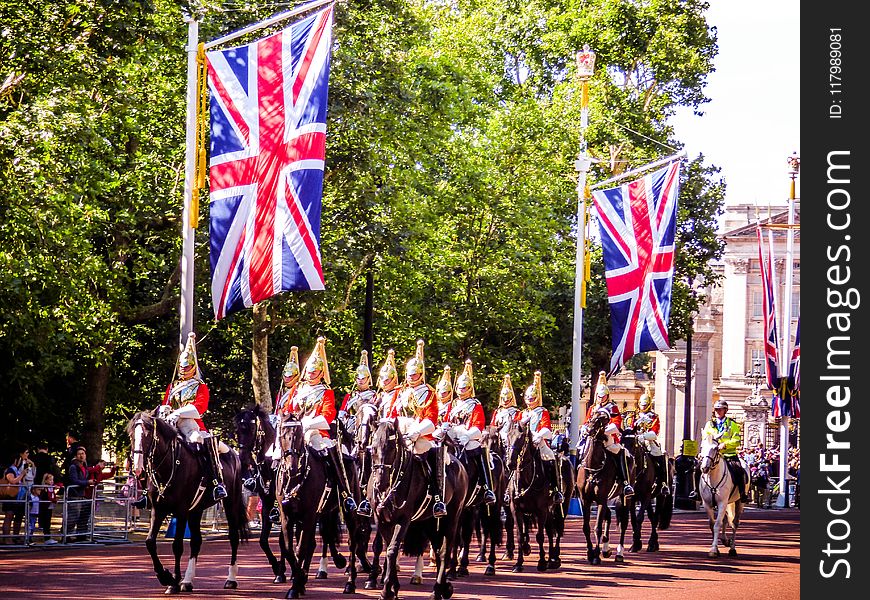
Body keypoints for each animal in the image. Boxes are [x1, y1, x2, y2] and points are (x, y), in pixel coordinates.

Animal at [129, 410, 252, 592]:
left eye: (147, 434)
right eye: (131, 435)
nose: (138, 468)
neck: (168, 466)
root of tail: (232, 452)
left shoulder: (181, 511)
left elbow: (177, 545)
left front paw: (173, 581)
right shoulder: (158, 509)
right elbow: (150, 542)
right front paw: (165, 576)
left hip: (231, 502)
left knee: (233, 536)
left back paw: (231, 579)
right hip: (196, 510)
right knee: (196, 541)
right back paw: (187, 581)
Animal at [235, 404, 290, 580]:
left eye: (252, 428)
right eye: (237, 429)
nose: (243, 459)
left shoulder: (281, 507)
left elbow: (282, 540)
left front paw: (280, 572)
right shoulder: (266, 504)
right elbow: (263, 541)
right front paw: (276, 567)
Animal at [372, 418, 474, 600]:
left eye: (391, 448)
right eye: (373, 447)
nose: (380, 483)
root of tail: (459, 464)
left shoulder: (403, 520)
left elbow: (392, 550)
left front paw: (386, 590)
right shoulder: (381, 520)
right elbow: (390, 549)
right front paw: (393, 588)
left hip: (452, 518)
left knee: (445, 551)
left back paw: (438, 590)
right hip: (430, 523)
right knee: (438, 550)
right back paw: (443, 588)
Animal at [504, 420, 560, 576]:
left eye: (521, 438)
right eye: (508, 436)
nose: (510, 463)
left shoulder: (541, 510)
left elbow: (540, 536)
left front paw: (541, 562)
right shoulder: (515, 509)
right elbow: (520, 535)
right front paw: (518, 563)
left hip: (550, 509)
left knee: (550, 530)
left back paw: (552, 560)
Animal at [576, 410, 632, 564]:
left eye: (605, 419)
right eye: (593, 414)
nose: (589, 430)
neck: (593, 467)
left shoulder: (601, 499)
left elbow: (597, 527)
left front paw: (595, 555)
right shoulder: (585, 500)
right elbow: (586, 527)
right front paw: (590, 552)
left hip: (625, 497)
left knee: (623, 523)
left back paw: (619, 553)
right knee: (608, 515)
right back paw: (606, 549)